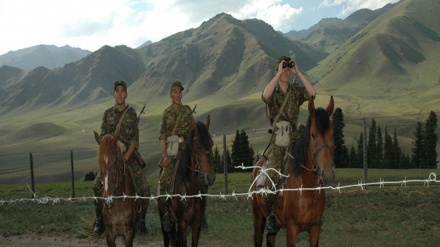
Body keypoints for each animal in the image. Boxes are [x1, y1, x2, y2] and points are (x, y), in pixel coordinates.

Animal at [160, 116, 217, 247]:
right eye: (197, 144)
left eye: (211, 143)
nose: (210, 177)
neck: (191, 189)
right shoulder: (183, 224)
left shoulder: (196, 225)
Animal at [253, 95, 336, 246]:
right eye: (313, 135)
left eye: (332, 134)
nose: (327, 173)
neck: (306, 189)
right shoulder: (291, 229)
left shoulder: (315, 229)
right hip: (257, 216)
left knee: (270, 238)